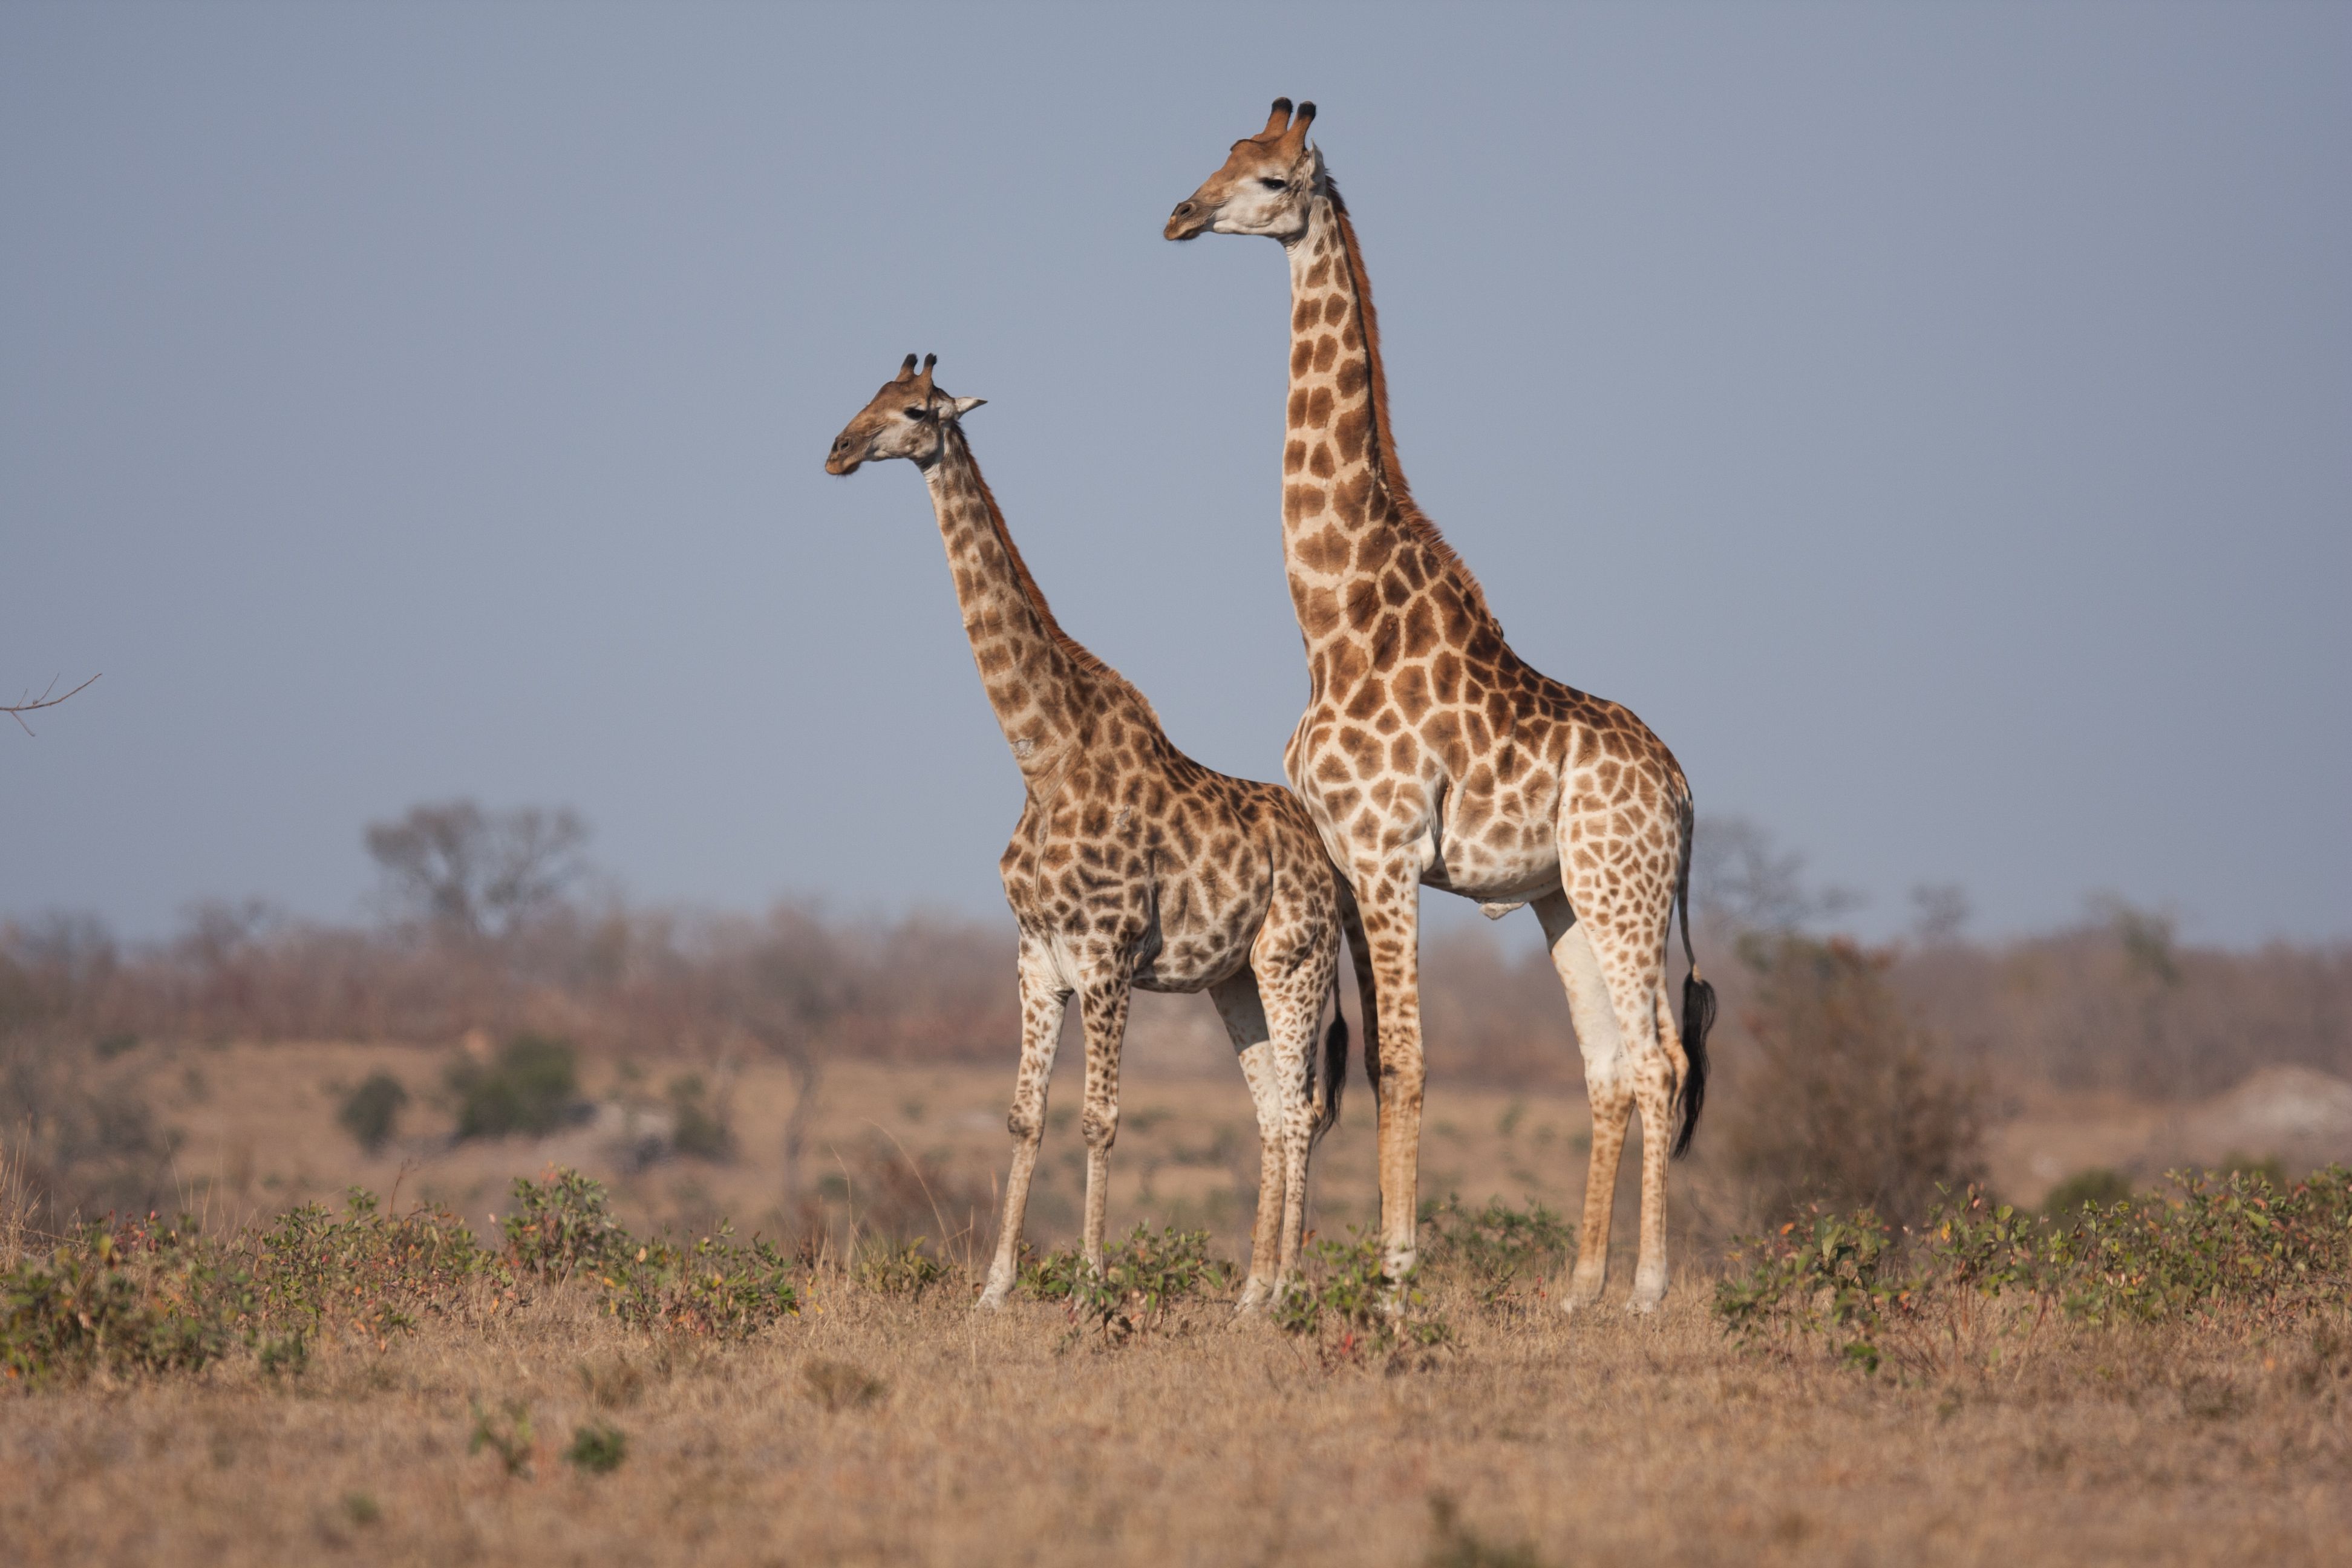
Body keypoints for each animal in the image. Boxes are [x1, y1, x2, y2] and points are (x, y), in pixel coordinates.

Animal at [825, 354, 1370, 1311]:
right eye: (869, 396)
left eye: (918, 410)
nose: (839, 451)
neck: (1042, 756)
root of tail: (1328, 864)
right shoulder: (1037, 956)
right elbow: (1025, 1116)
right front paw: (995, 1290)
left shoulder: (1108, 956)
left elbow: (1100, 1118)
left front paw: (1086, 1286)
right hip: (1232, 980)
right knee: (1272, 1113)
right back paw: (1248, 1296)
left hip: (1291, 962)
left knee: (1303, 1113)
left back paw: (1284, 1293)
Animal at [1166, 102, 1717, 1311]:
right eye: (1221, 156)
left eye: (1269, 179)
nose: (1178, 216)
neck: (1332, 620)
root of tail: (1685, 792)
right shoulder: (1342, 862)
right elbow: (1363, 1069)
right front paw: (1314, 1281)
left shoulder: (1385, 856)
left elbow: (1410, 1064)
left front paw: (1392, 1281)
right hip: (1563, 899)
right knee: (1611, 1064)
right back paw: (1579, 1289)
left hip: (1621, 889)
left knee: (1662, 1059)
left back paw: (1648, 1289)